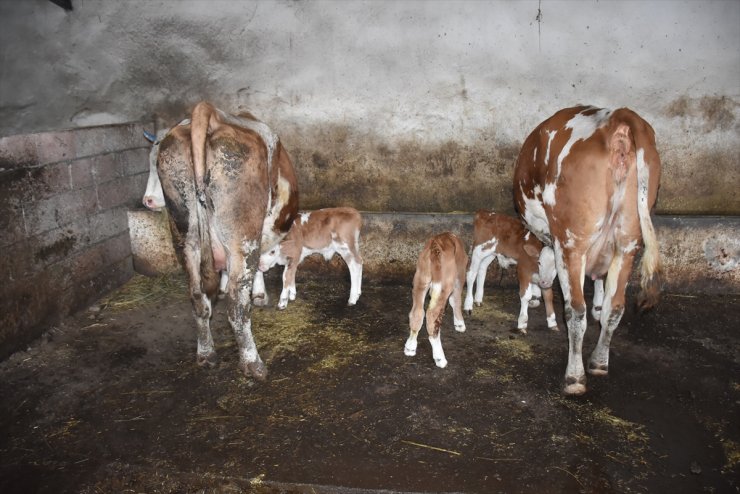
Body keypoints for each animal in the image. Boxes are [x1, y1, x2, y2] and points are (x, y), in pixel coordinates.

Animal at [147, 100, 298, 378]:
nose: (148, 201)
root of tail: (210, 113)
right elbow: (256, 266)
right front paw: (259, 295)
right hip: (242, 236)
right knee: (237, 305)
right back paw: (253, 363)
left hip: (185, 234)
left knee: (198, 298)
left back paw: (206, 354)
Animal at [404, 233, 468, 368]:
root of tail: (435, 245)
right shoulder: (460, 274)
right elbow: (456, 300)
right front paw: (460, 324)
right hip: (446, 283)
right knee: (432, 316)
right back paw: (440, 358)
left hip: (420, 279)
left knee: (417, 312)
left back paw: (410, 347)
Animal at [512, 106, 660, 396]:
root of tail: (619, 119)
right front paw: (598, 304)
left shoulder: (558, 242)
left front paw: (535, 295)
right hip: (629, 240)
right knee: (617, 307)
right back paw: (599, 362)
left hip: (573, 242)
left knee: (575, 311)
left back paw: (574, 376)